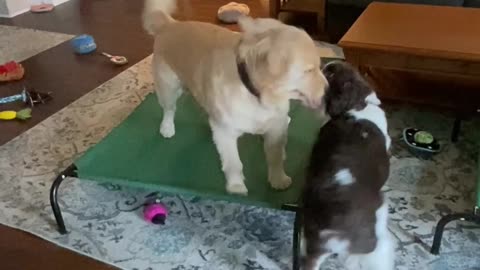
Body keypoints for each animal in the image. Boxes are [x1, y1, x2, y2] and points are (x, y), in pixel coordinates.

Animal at [143, 0, 330, 195]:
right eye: (308, 70)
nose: (328, 88)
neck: (256, 94)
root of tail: (170, 24)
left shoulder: (275, 128)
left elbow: (275, 157)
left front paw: (278, 179)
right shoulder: (226, 134)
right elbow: (234, 164)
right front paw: (236, 187)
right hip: (169, 88)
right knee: (169, 109)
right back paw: (167, 127)